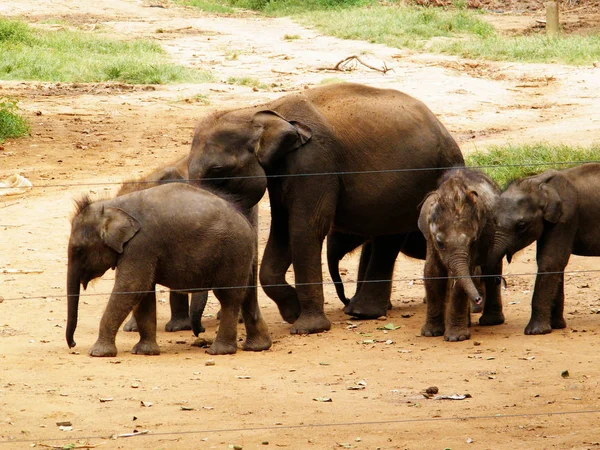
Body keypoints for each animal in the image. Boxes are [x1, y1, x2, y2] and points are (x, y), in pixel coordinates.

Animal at [66, 182, 272, 356]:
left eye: (79, 250)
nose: (73, 344)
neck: (111, 205)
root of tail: (247, 222)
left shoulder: (141, 244)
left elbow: (131, 287)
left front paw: (97, 353)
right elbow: (144, 293)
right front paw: (144, 352)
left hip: (233, 252)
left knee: (228, 298)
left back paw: (219, 352)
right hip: (243, 255)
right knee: (246, 296)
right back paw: (257, 347)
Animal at [188, 81, 464, 334]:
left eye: (217, 170)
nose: (200, 332)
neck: (259, 111)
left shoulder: (313, 162)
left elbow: (304, 229)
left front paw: (307, 328)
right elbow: (282, 231)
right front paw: (293, 313)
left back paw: (360, 312)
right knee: (389, 235)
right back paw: (361, 311)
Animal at [418, 169, 506, 342]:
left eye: (472, 242)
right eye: (440, 243)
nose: (478, 299)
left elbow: (462, 278)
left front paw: (456, 338)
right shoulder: (429, 238)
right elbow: (432, 272)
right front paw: (430, 333)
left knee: (491, 269)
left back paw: (491, 321)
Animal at [490, 163, 600, 336]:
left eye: (521, 225)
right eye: (494, 220)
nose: (502, 282)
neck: (538, 183)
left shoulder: (566, 217)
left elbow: (550, 261)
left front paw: (535, 332)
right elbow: (556, 263)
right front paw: (556, 326)